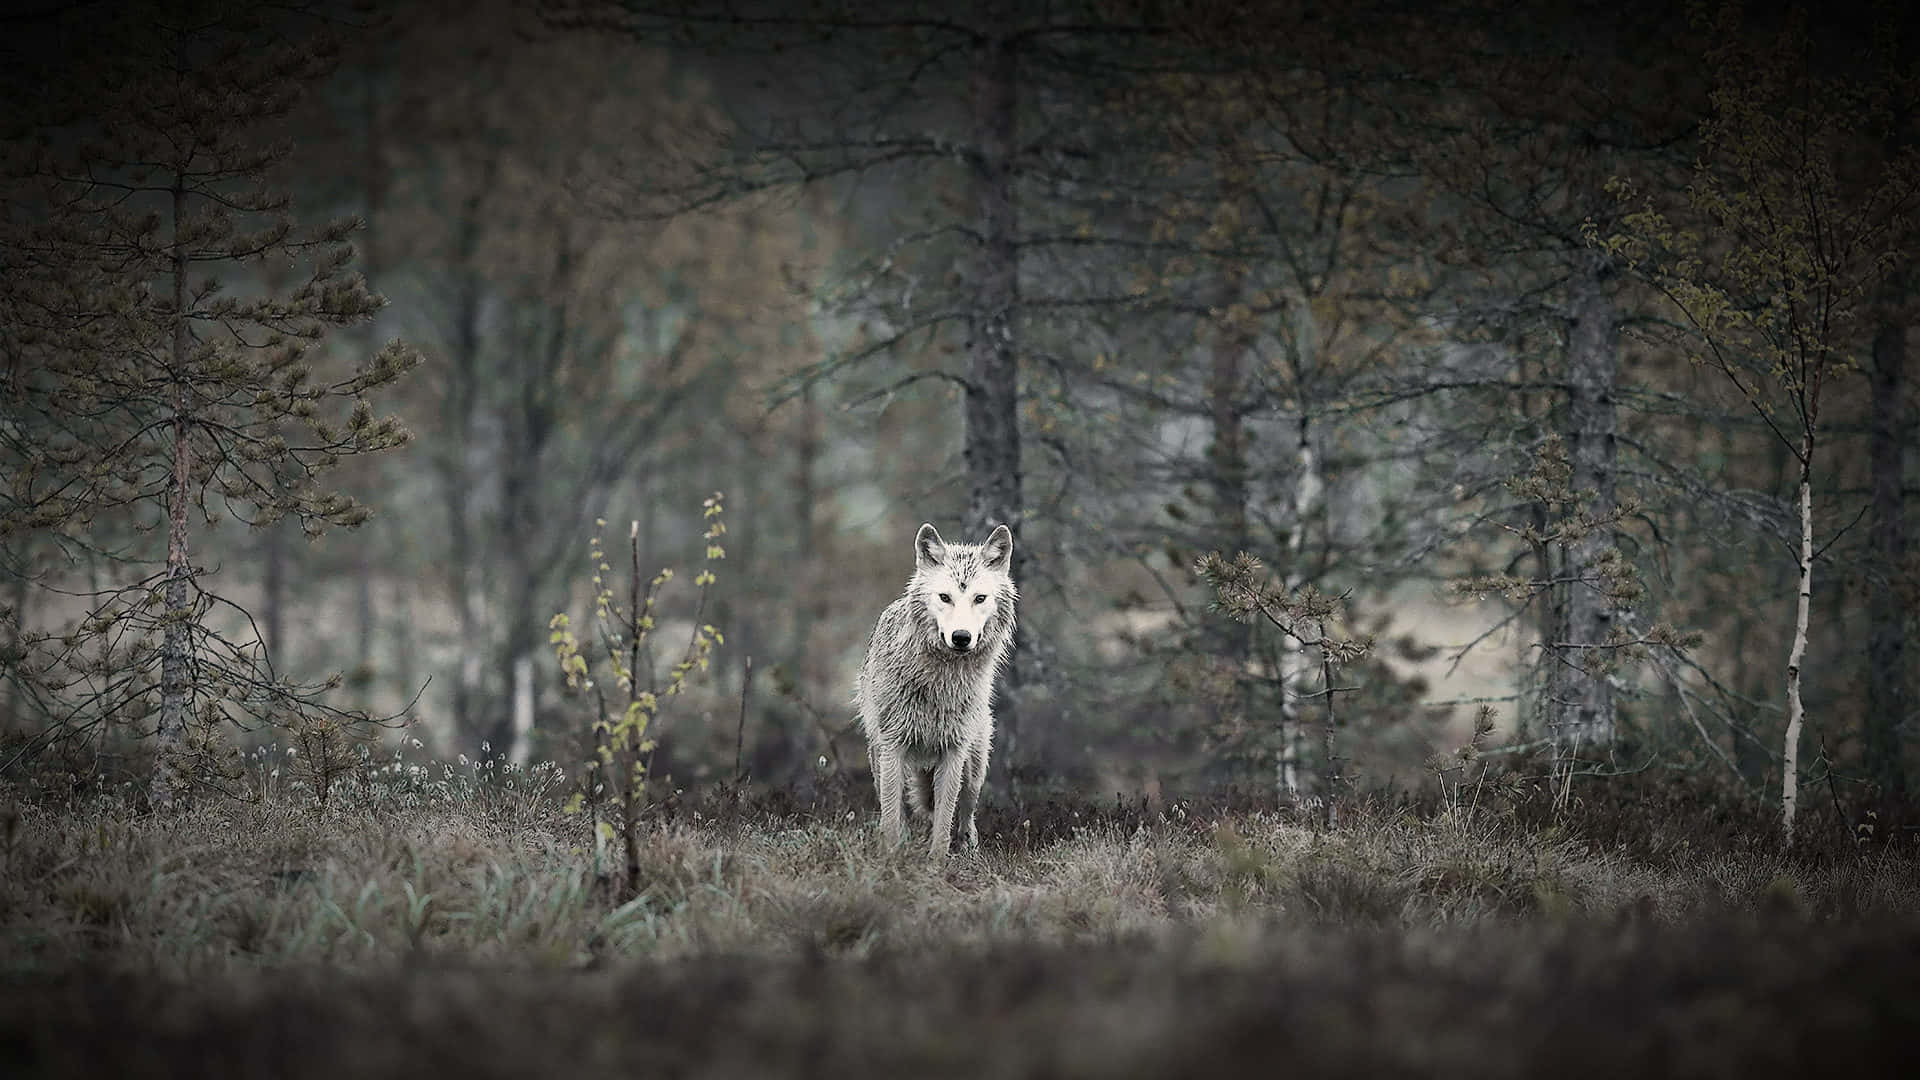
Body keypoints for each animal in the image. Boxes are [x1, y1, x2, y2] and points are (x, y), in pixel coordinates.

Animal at [855, 522, 1017, 857]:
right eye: (945, 597)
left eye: (980, 598)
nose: (961, 637)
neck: (940, 684)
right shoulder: (893, 747)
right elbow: (892, 818)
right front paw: (890, 858)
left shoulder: (954, 752)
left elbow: (944, 821)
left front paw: (936, 863)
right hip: (879, 758)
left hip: (974, 767)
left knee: (965, 812)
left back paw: (968, 849)